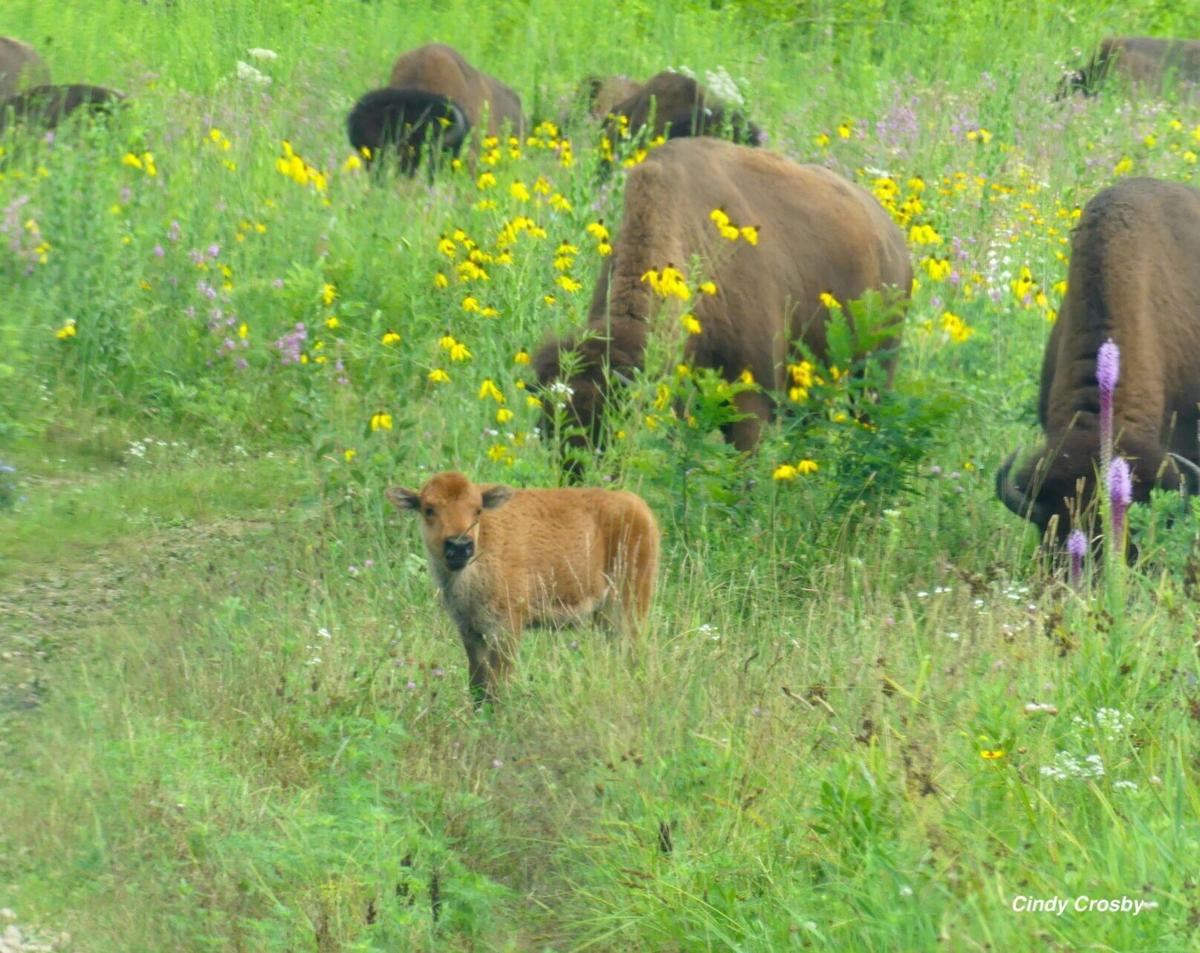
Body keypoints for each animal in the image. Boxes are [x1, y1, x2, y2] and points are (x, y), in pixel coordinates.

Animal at [388, 471, 660, 703]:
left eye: (477, 510)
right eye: (428, 509)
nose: (459, 545)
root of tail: (642, 511)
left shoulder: (507, 629)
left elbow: (497, 686)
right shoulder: (471, 631)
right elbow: (478, 685)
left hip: (628, 609)